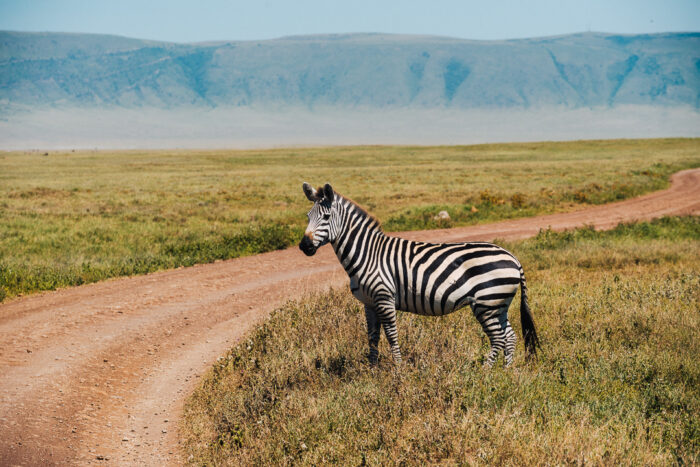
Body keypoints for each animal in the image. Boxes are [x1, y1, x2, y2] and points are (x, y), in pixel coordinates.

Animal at [298, 183, 540, 370]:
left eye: (326, 216)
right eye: (308, 216)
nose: (304, 246)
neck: (367, 253)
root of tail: (513, 258)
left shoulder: (384, 298)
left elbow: (391, 335)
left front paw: (398, 369)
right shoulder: (369, 303)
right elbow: (372, 337)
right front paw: (372, 369)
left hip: (487, 302)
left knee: (498, 338)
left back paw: (484, 373)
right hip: (499, 303)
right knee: (509, 337)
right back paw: (505, 372)